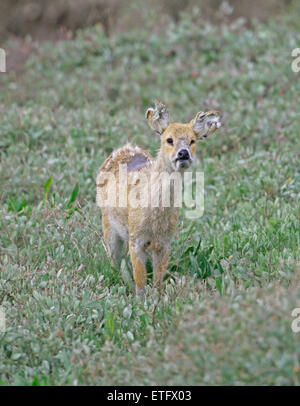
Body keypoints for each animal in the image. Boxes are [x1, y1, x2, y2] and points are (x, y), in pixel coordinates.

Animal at [96, 98, 220, 294]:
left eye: (192, 140)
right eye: (169, 139)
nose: (183, 153)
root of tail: (123, 148)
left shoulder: (166, 240)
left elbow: (158, 279)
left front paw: (158, 297)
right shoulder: (135, 238)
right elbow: (140, 279)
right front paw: (140, 298)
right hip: (107, 222)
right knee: (113, 258)